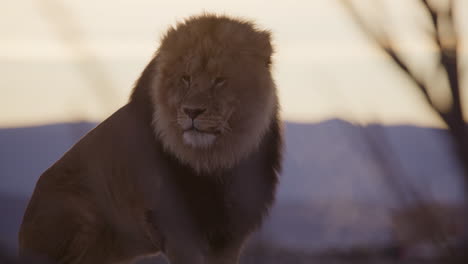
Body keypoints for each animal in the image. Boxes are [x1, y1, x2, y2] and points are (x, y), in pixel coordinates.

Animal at [19, 14, 282, 264]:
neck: (214, 162)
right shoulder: (175, 229)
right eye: (185, 78)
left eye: (220, 80)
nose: (192, 111)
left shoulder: (231, 233)